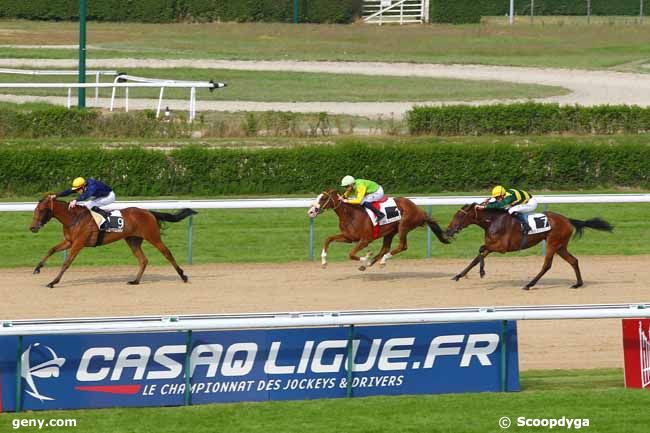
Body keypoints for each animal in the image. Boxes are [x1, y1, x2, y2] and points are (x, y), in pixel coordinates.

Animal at [29, 196, 195, 286]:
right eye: (35, 210)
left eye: (42, 210)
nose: (32, 228)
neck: (74, 218)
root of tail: (148, 212)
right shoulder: (69, 242)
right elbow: (51, 249)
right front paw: (37, 268)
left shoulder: (78, 243)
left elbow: (66, 262)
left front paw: (53, 282)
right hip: (133, 240)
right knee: (143, 260)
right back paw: (135, 281)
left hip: (153, 236)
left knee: (167, 253)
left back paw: (183, 276)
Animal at [306, 189, 448, 270]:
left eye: (323, 198)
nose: (311, 211)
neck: (351, 214)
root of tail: (420, 211)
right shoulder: (349, 237)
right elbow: (328, 239)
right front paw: (324, 261)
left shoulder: (365, 240)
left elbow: (351, 254)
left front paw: (366, 257)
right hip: (390, 232)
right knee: (385, 248)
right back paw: (371, 263)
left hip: (404, 225)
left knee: (402, 246)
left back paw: (381, 260)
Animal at [442, 202, 612, 290]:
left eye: (459, 215)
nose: (448, 230)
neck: (492, 221)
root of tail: (568, 220)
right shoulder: (492, 244)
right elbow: (476, 257)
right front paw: (459, 275)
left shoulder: (501, 247)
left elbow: (481, 250)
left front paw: (482, 271)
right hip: (560, 246)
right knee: (573, 260)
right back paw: (578, 284)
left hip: (552, 243)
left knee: (547, 265)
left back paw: (529, 284)